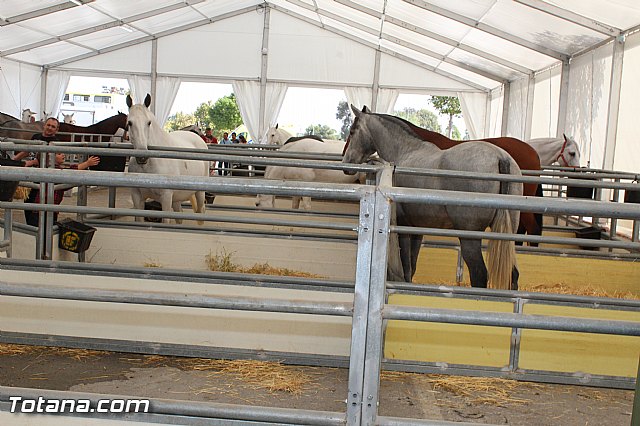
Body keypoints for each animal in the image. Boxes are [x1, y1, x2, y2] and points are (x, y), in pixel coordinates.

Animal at [126, 94, 209, 224]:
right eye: (130, 123)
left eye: (149, 122)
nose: (142, 157)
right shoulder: (137, 197)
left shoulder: (166, 198)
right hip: (177, 200)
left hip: (199, 193)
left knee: (201, 213)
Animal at [343, 105, 523, 290]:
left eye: (352, 131)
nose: (346, 164)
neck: (405, 151)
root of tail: (500, 157)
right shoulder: (417, 228)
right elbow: (412, 264)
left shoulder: (403, 227)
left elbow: (406, 265)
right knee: (513, 274)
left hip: (469, 237)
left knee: (479, 274)